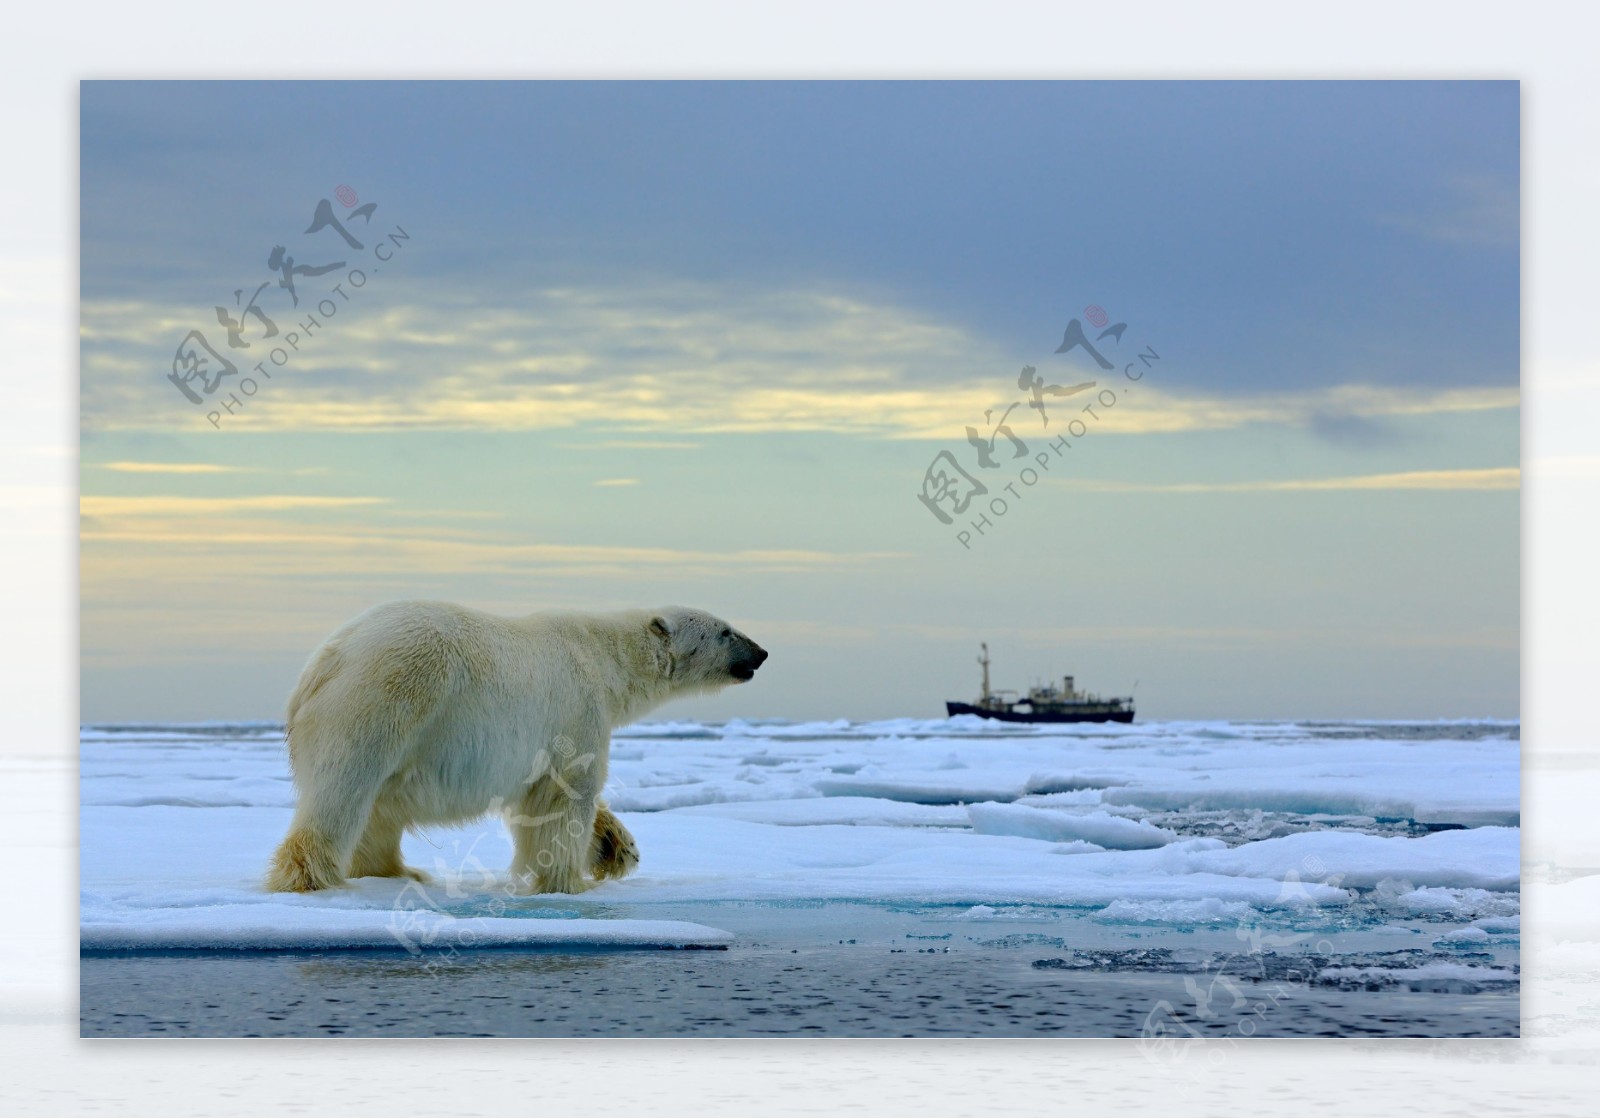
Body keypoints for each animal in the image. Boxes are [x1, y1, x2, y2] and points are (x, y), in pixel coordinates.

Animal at [262, 598, 768, 896]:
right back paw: (311, 877)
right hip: (385, 698)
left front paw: (615, 847)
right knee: (345, 791)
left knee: (379, 807)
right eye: (725, 631)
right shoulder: (576, 708)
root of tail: (326, 661)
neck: (606, 658)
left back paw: (400, 872)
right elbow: (567, 795)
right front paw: (569, 881)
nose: (761, 653)